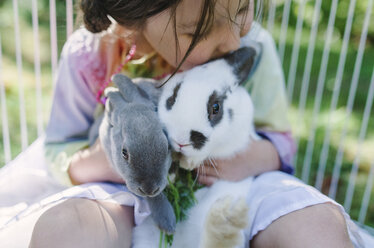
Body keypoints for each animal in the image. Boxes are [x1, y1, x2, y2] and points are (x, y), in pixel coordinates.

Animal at [133, 45, 262, 247]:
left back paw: (226, 219)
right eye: (172, 97)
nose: (180, 141)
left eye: (216, 107)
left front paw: (189, 163)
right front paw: (172, 168)